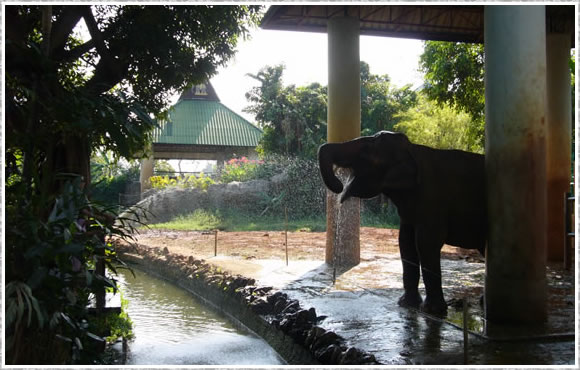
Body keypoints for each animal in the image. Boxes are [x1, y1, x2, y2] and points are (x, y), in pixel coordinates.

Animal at [318, 131, 484, 316]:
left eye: (367, 149)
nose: (339, 186)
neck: (413, 148)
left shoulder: (434, 201)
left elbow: (426, 243)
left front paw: (431, 311)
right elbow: (405, 242)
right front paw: (406, 304)